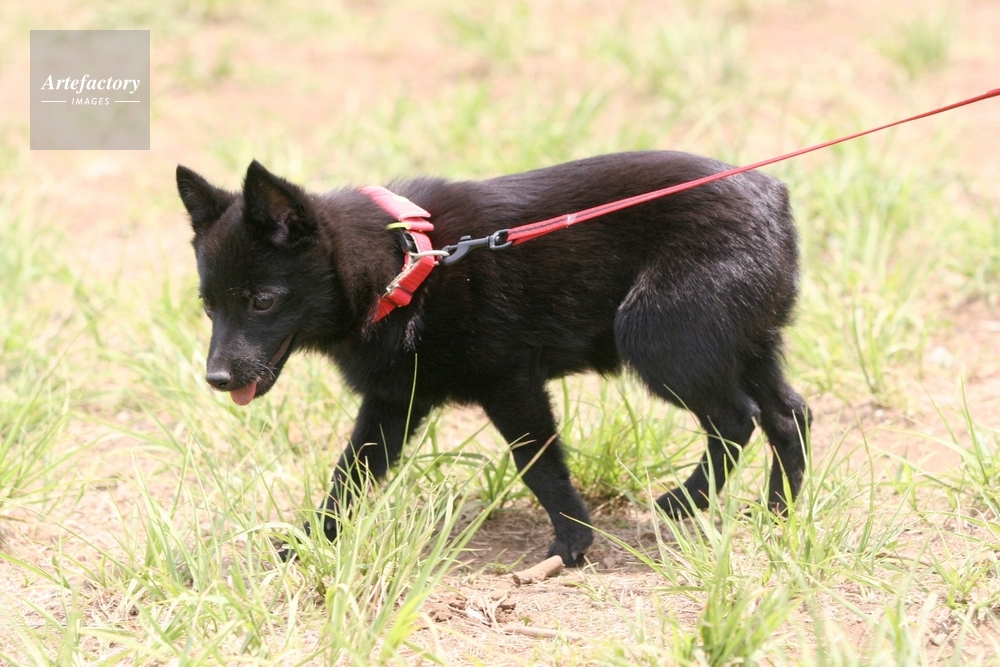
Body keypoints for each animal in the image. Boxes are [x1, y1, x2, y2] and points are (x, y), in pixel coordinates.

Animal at [176, 151, 810, 566]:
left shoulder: (510, 383)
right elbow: (352, 474)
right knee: (788, 414)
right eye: (208, 307)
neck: (406, 262)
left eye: (262, 301)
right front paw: (311, 540)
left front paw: (572, 545)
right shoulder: (393, 401)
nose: (216, 379)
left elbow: (539, 463)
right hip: (743, 344)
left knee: (736, 420)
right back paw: (778, 514)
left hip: (661, 337)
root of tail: (775, 199)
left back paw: (683, 502)